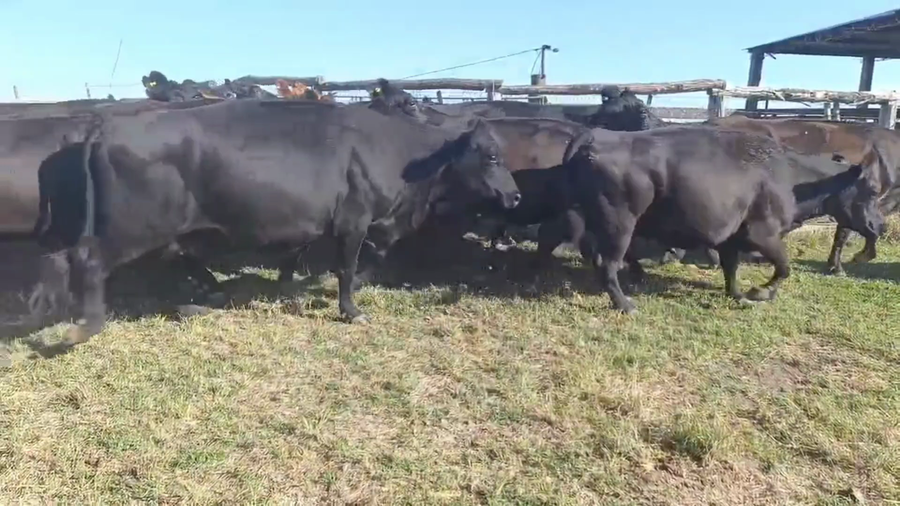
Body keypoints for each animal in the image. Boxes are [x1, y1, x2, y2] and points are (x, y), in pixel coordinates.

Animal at [29, 98, 521, 344]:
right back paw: (84, 328)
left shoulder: (314, 222)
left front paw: (293, 291)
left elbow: (301, 259)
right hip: (134, 226)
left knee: (65, 258)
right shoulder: (354, 220)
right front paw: (350, 310)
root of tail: (106, 126)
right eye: (492, 156)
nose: (515, 195)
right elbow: (346, 268)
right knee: (89, 261)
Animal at [555, 125, 881, 314]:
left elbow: (731, 269)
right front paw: (760, 291)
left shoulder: (731, 239)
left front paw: (739, 295)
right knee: (608, 263)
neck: (790, 175)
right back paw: (626, 305)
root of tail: (597, 135)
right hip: (620, 223)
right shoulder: (762, 235)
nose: (880, 225)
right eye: (873, 190)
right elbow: (784, 267)